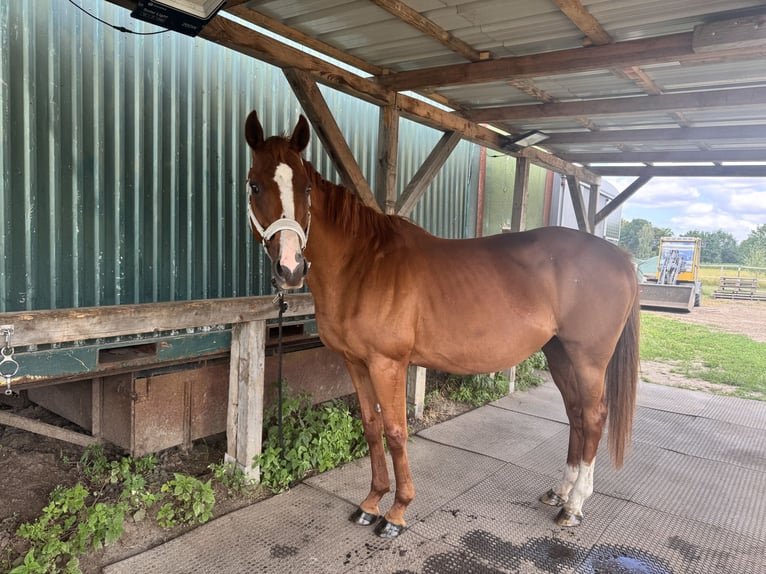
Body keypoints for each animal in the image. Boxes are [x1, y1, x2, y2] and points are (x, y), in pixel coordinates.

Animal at [243, 110, 640, 539]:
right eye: (254, 185)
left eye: (305, 188)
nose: (290, 268)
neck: (362, 263)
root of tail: (620, 257)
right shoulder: (355, 362)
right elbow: (371, 426)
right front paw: (371, 502)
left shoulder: (388, 364)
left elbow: (396, 431)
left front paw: (396, 511)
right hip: (560, 354)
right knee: (576, 414)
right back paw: (561, 492)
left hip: (588, 361)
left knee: (594, 417)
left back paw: (575, 505)